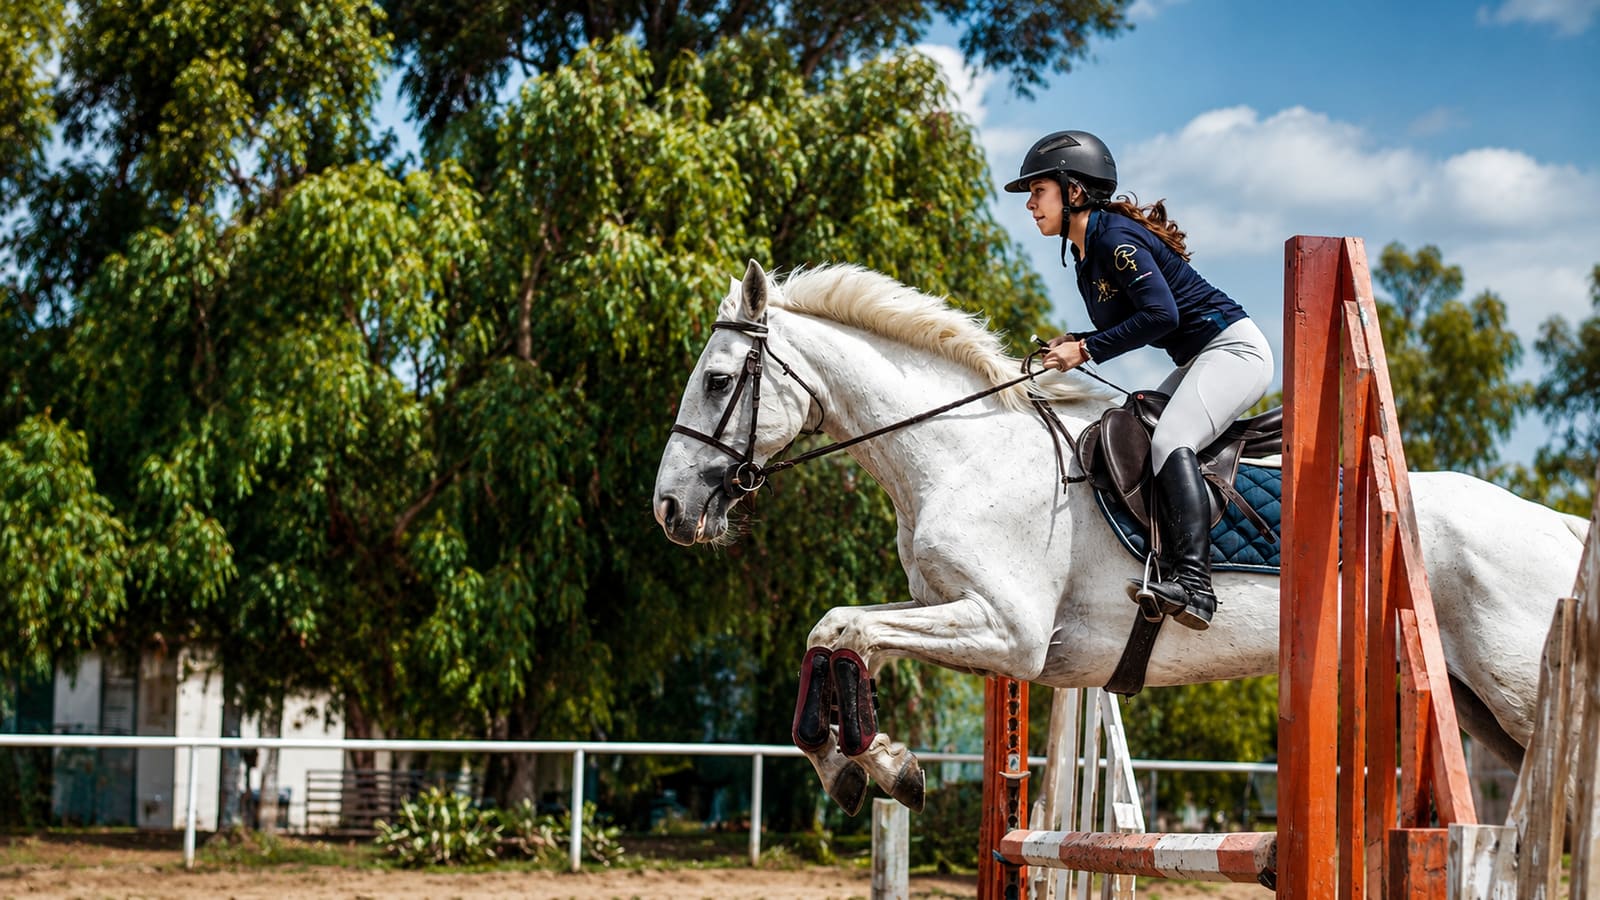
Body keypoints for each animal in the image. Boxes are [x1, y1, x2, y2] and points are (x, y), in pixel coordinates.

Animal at [651, 260, 1589, 815]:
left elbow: (838, 626)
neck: (960, 452)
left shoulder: (1009, 633)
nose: (669, 509)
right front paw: (872, 765)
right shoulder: (952, 615)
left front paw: (869, 762)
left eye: (720, 381)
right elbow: (840, 636)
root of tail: (1561, 525)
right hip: (1476, 702)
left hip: (1514, 688)